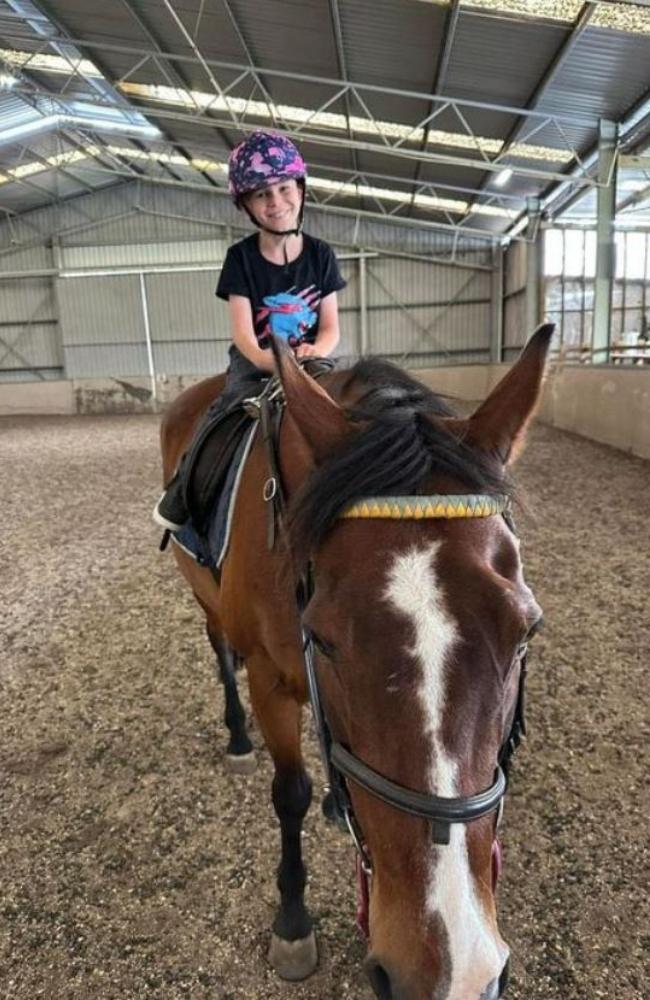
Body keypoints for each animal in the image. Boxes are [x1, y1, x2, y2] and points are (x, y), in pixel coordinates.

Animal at [159, 324, 548, 996]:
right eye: (323, 638)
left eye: (524, 633)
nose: (451, 971)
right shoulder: (270, 678)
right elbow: (288, 792)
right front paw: (292, 922)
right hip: (203, 597)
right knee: (218, 649)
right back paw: (237, 737)